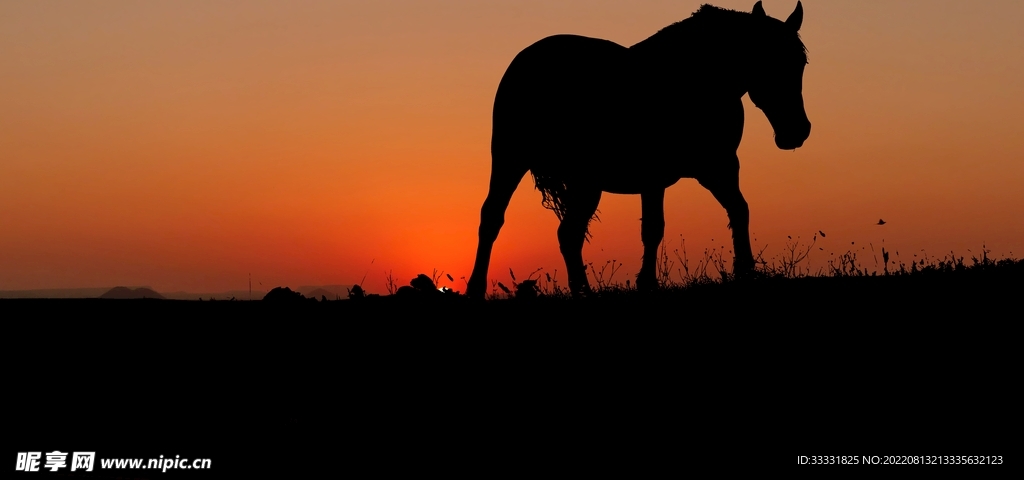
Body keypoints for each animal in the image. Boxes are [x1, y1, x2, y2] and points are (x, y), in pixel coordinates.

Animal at [467, 1, 811, 298]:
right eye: (768, 59)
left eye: (801, 63)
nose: (797, 132)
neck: (696, 79)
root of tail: (528, 59)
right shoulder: (683, 171)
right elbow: (662, 227)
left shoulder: (708, 169)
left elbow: (730, 212)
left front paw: (744, 272)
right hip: (523, 162)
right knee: (522, 224)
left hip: (562, 176)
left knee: (541, 228)